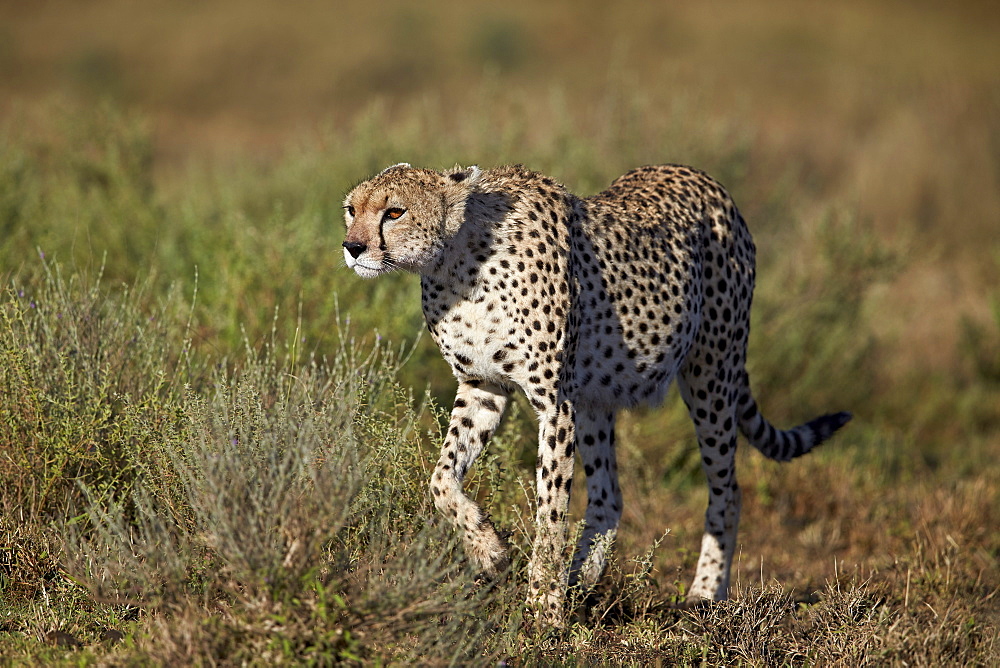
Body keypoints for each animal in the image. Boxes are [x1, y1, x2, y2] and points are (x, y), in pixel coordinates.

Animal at [342, 164, 852, 624]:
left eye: (394, 211)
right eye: (351, 210)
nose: (352, 247)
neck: (455, 260)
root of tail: (704, 178)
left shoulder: (554, 403)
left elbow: (550, 512)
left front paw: (543, 609)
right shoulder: (483, 386)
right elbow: (441, 480)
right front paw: (489, 551)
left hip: (711, 372)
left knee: (727, 491)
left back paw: (704, 594)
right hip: (596, 397)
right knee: (610, 495)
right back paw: (582, 579)